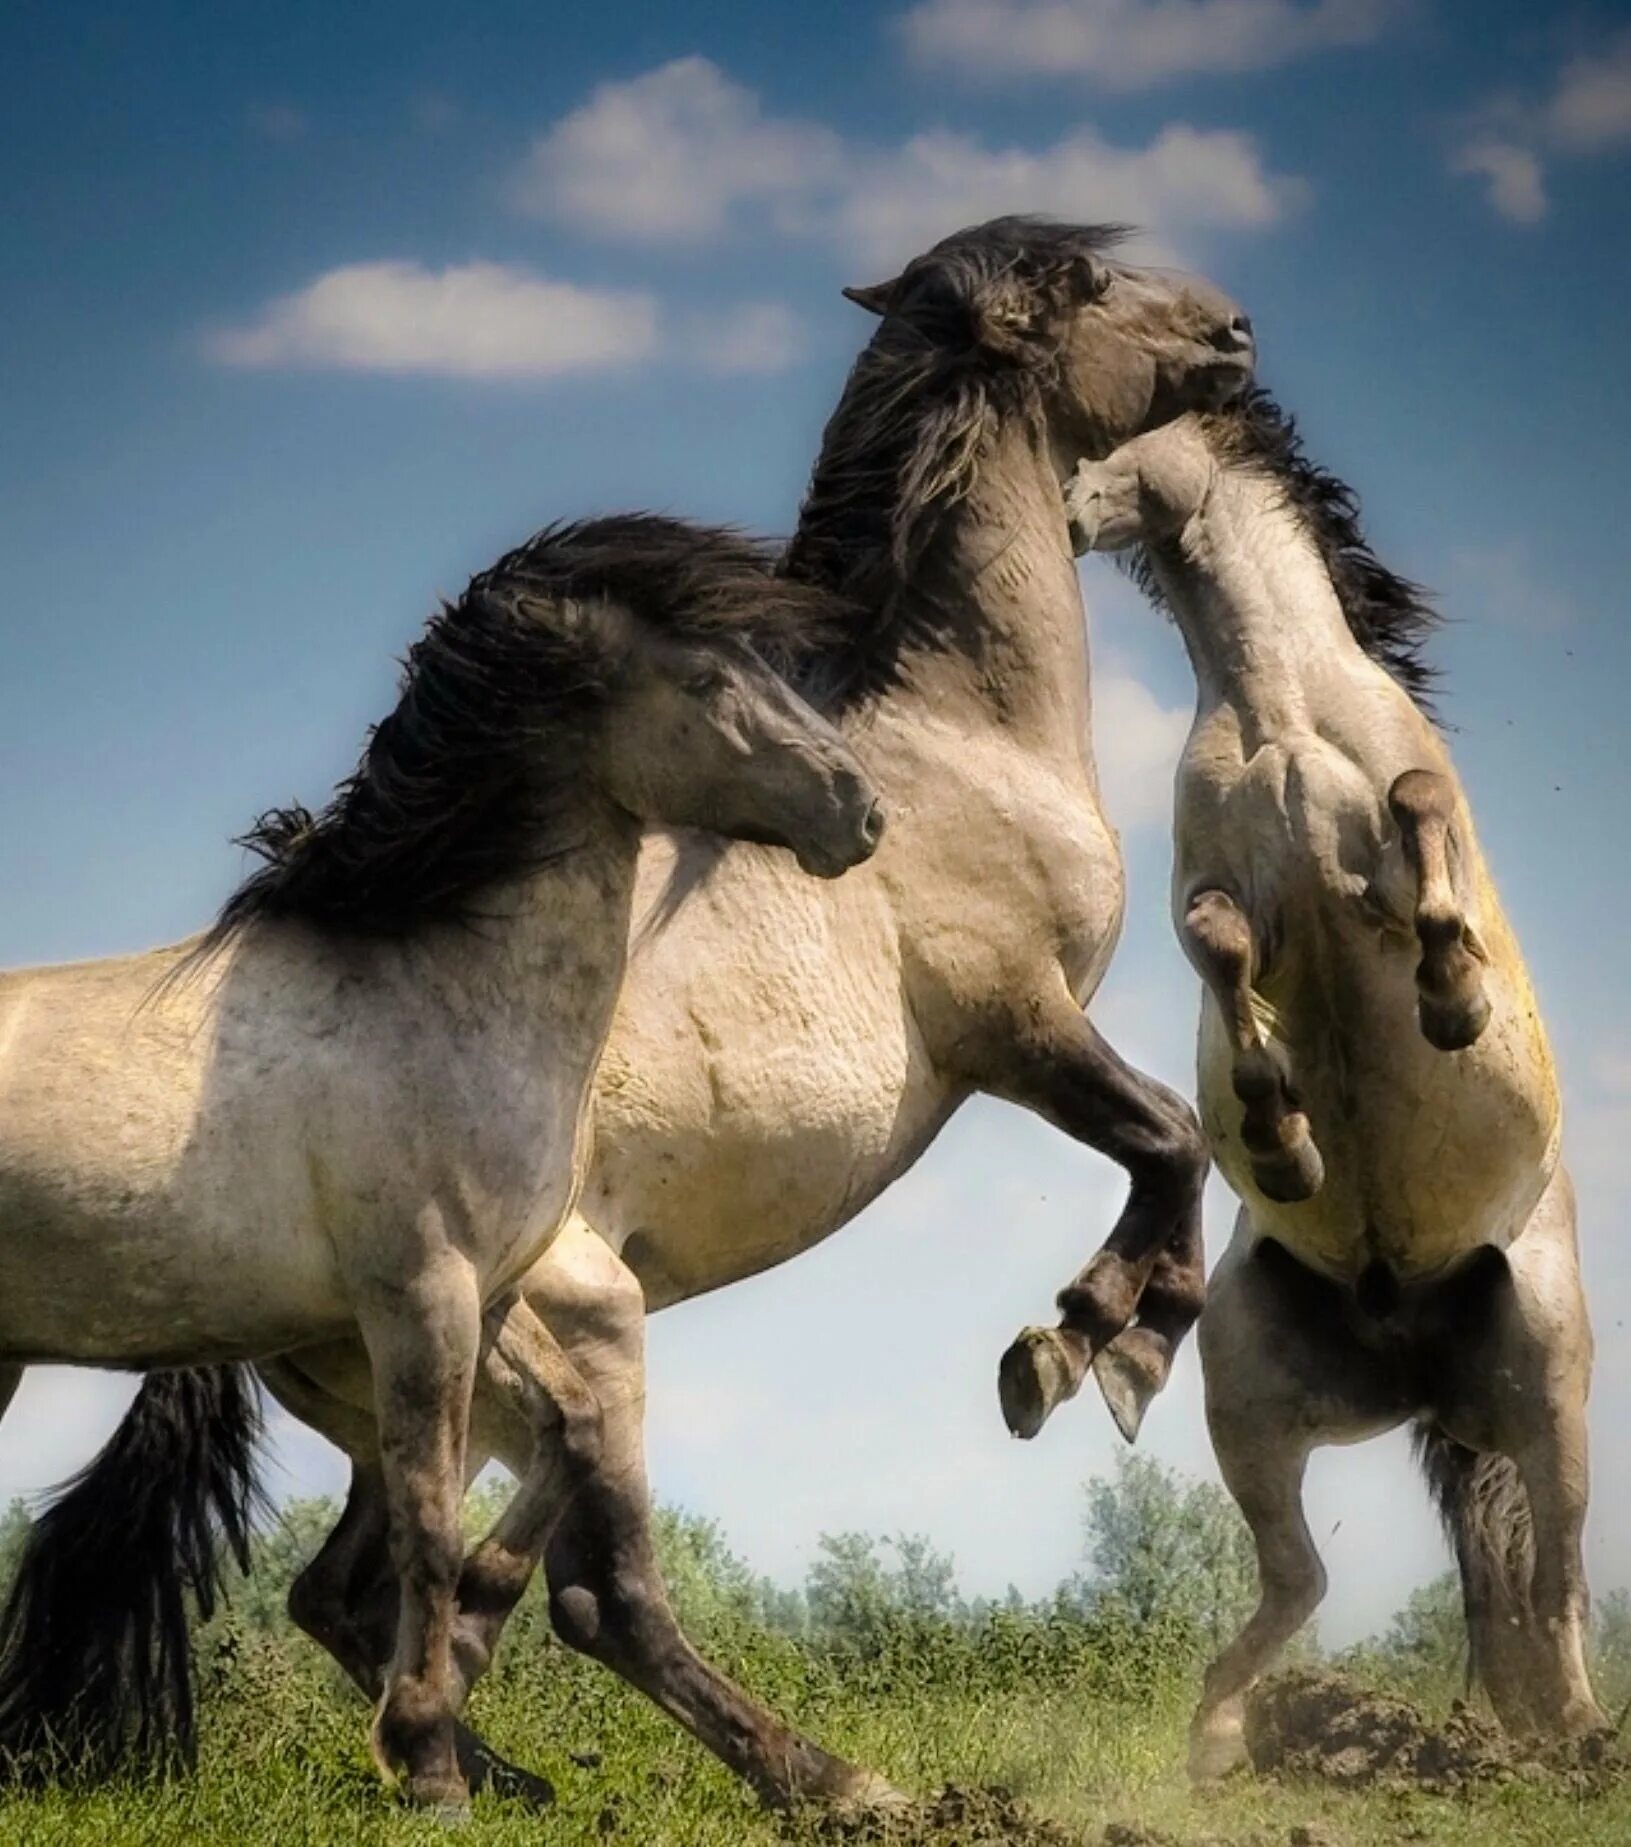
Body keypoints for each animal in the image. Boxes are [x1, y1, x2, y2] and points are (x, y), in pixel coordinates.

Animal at [0, 513, 886, 1810]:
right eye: (710, 682)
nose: (862, 811)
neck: (439, 997)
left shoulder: (497, 1291)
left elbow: (566, 1436)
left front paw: (455, 1672)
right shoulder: (421, 1295)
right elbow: (429, 1523)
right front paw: (427, 1759)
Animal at [1071, 393, 1610, 1773]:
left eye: (1125, 426)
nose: (1066, 509)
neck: (1283, 717)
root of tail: (1407, 1346)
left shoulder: (1409, 822)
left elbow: (1418, 822)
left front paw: (1450, 995)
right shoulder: (1212, 889)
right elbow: (1220, 946)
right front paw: (1284, 1136)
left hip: (1549, 1382)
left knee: (1554, 1575)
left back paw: (1577, 1734)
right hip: (1248, 1394)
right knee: (1299, 1580)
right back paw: (1212, 1742)